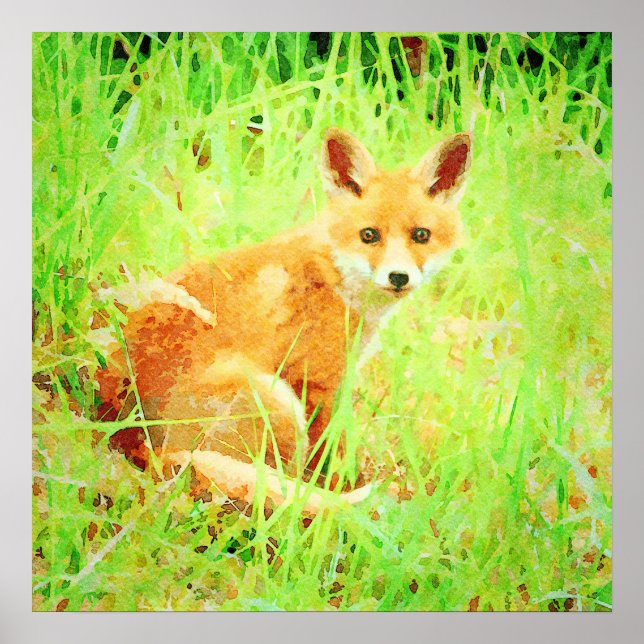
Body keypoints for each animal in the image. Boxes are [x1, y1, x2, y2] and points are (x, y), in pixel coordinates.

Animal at [96, 127, 471, 512]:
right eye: (369, 235)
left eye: (421, 235)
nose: (398, 277)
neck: (334, 275)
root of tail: (135, 442)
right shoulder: (315, 382)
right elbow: (330, 458)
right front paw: (340, 489)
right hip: (277, 400)